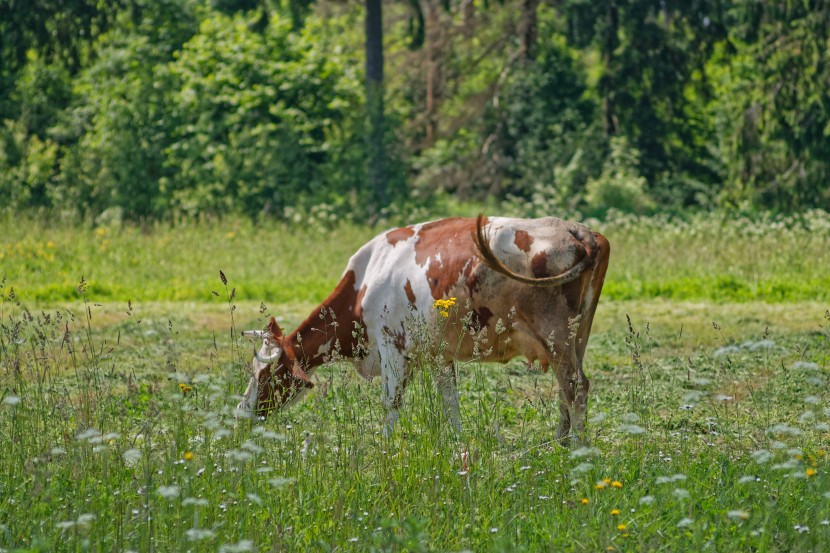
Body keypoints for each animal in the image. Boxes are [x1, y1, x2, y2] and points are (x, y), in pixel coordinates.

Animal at [236, 215, 612, 444]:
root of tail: (576, 230)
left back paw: (576, 451)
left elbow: (391, 401)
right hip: (578, 335)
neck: (367, 279)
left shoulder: (392, 344)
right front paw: (459, 442)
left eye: (266, 374)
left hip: (555, 331)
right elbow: (450, 401)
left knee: (575, 385)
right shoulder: (437, 354)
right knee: (566, 387)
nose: (241, 413)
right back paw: (561, 443)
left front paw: (384, 446)